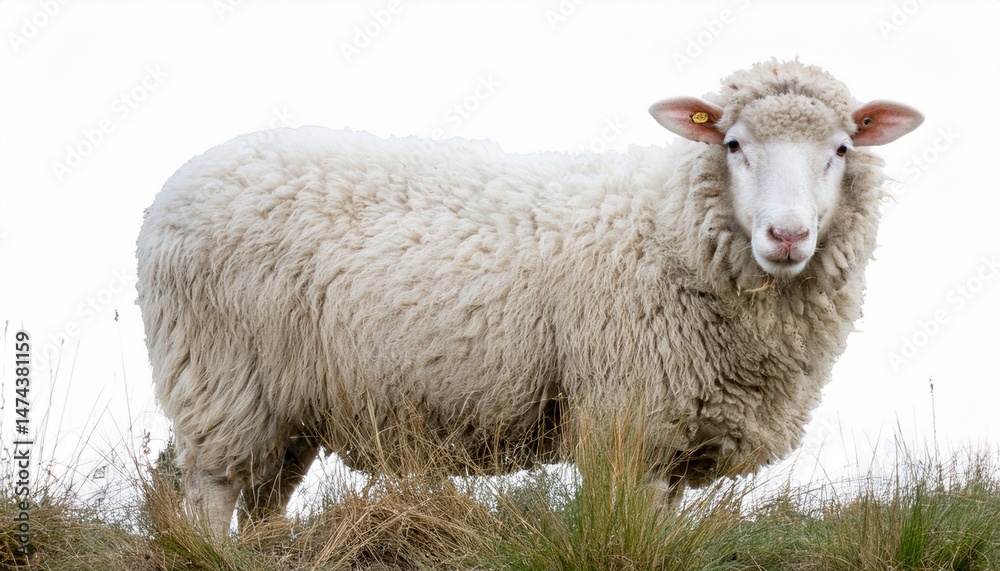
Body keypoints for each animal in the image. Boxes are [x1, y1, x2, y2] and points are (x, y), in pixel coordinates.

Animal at [136, 59, 923, 534]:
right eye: (732, 144)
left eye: (843, 148)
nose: (787, 234)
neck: (672, 229)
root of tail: (174, 189)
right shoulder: (626, 420)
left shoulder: (673, 431)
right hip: (220, 377)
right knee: (210, 492)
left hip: (289, 399)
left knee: (264, 500)